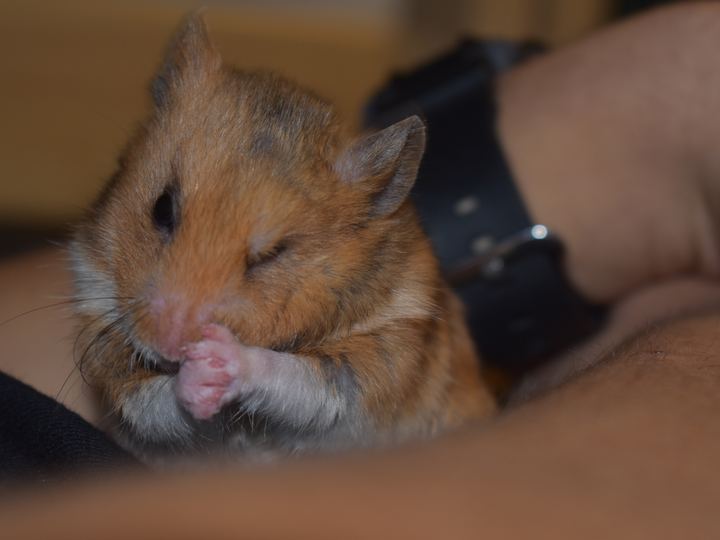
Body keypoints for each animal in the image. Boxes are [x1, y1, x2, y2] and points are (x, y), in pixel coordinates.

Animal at [70, 13, 496, 460]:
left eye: (273, 253)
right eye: (162, 209)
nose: (170, 345)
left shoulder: (373, 366)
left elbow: (296, 376)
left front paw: (217, 359)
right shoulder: (111, 350)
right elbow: (156, 401)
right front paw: (198, 378)